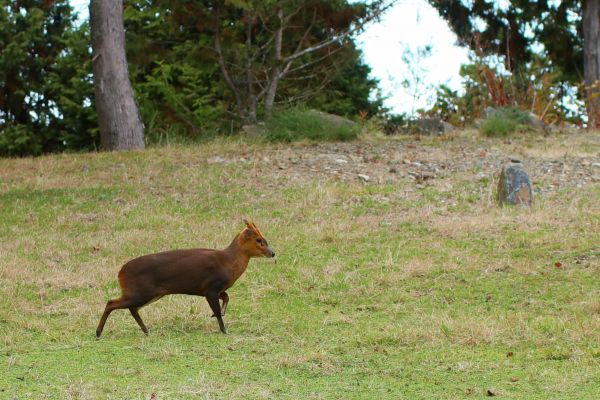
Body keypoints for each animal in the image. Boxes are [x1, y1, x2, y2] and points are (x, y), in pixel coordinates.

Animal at [95, 219, 274, 338]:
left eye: (265, 239)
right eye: (259, 240)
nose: (273, 253)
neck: (229, 262)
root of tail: (120, 272)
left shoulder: (214, 289)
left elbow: (226, 297)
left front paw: (221, 314)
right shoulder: (211, 288)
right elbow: (217, 308)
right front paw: (224, 329)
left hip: (149, 294)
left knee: (132, 309)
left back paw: (146, 331)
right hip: (140, 292)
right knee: (111, 303)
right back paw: (98, 332)